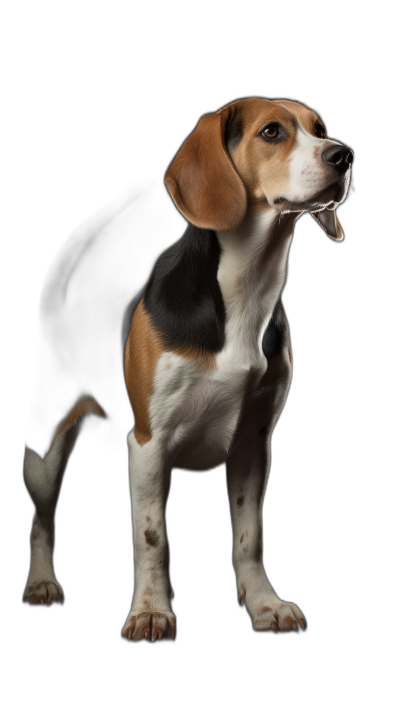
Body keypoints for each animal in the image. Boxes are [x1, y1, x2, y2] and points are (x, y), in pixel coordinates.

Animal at [21, 96, 354, 640]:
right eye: (272, 132)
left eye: (321, 127)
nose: (343, 155)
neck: (246, 287)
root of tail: (60, 314)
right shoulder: (148, 444)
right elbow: (153, 538)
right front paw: (150, 611)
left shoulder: (253, 446)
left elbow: (249, 536)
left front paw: (264, 604)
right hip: (45, 457)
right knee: (41, 522)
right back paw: (42, 583)